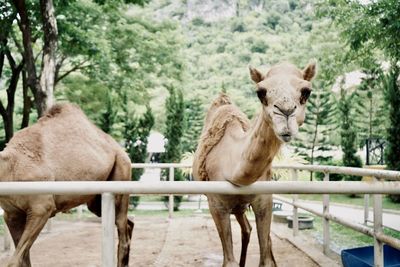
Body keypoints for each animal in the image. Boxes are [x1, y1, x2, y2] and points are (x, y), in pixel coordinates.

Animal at [0, 103, 134, 267]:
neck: (9, 167)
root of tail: (120, 149)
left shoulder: (41, 207)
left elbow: (15, 260)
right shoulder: (11, 214)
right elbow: (24, 259)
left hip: (122, 169)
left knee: (122, 226)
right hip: (96, 200)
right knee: (127, 223)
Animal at [192, 61, 318, 267]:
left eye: (306, 91)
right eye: (261, 92)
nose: (285, 112)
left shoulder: (264, 200)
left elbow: (266, 259)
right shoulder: (216, 205)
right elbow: (229, 262)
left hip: (242, 206)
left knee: (250, 231)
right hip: (234, 207)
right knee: (246, 229)